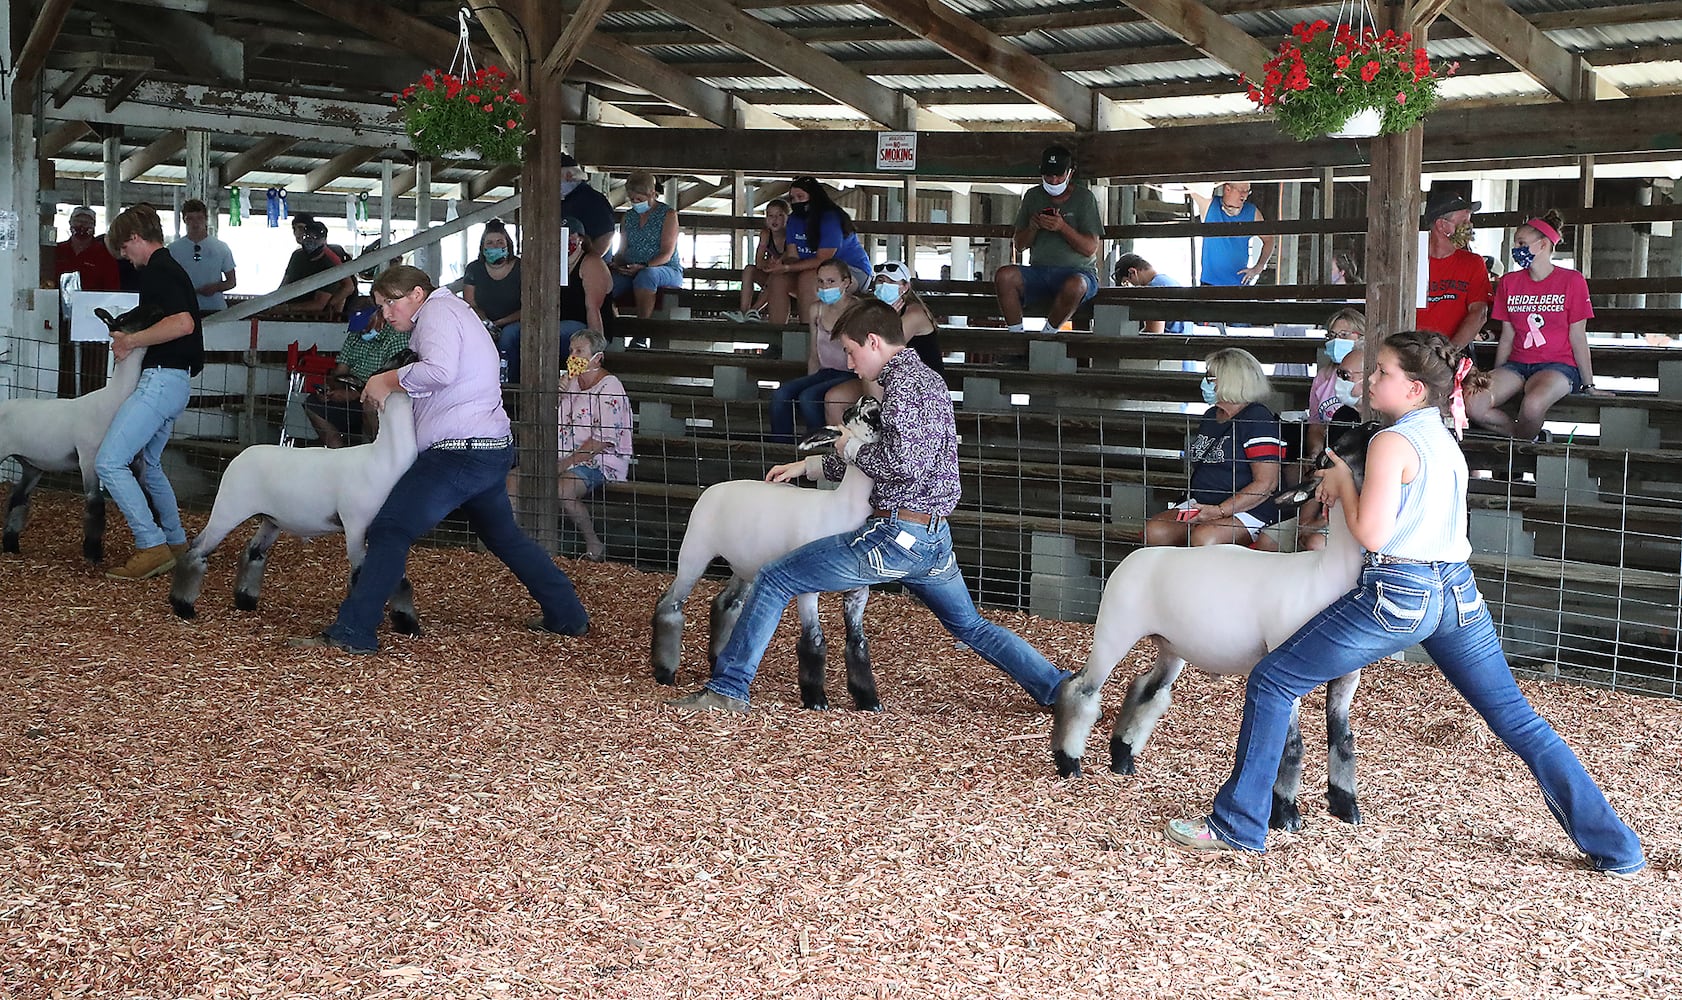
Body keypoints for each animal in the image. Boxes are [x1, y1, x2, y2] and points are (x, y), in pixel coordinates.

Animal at [1, 302, 159, 564]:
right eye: (124, 317)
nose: (157, 309)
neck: (112, 401)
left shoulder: (136, 460)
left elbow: (148, 499)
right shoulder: (88, 459)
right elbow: (95, 506)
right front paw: (93, 553)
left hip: (31, 465)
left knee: (17, 500)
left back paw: (11, 546)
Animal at [169, 386, 420, 628]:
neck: (383, 459)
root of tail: (241, 456)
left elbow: (397, 578)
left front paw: (407, 623)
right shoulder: (355, 526)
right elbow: (362, 575)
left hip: (270, 520)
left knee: (253, 553)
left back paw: (245, 601)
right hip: (228, 509)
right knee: (196, 552)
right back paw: (183, 607)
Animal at [645, 394, 881, 709]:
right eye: (856, 413)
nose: (871, 399)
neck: (842, 508)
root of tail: (712, 488)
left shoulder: (858, 592)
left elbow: (859, 643)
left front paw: (869, 700)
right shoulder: (807, 588)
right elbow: (814, 641)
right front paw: (816, 699)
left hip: (745, 564)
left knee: (726, 604)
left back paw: (717, 661)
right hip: (694, 551)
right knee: (670, 604)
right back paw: (665, 672)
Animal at [1049, 418, 1379, 833]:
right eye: (1327, 456)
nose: (1372, 422)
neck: (1324, 576)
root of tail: (1135, 555)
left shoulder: (1347, 676)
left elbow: (1344, 739)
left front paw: (1345, 805)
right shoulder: (1285, 667)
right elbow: (1291, 746)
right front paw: (1286, 814)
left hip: (1171, 646)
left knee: (1146, 689)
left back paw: (1122, 758)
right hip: (1114, 628)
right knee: (1081, 689)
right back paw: (1069, 763)